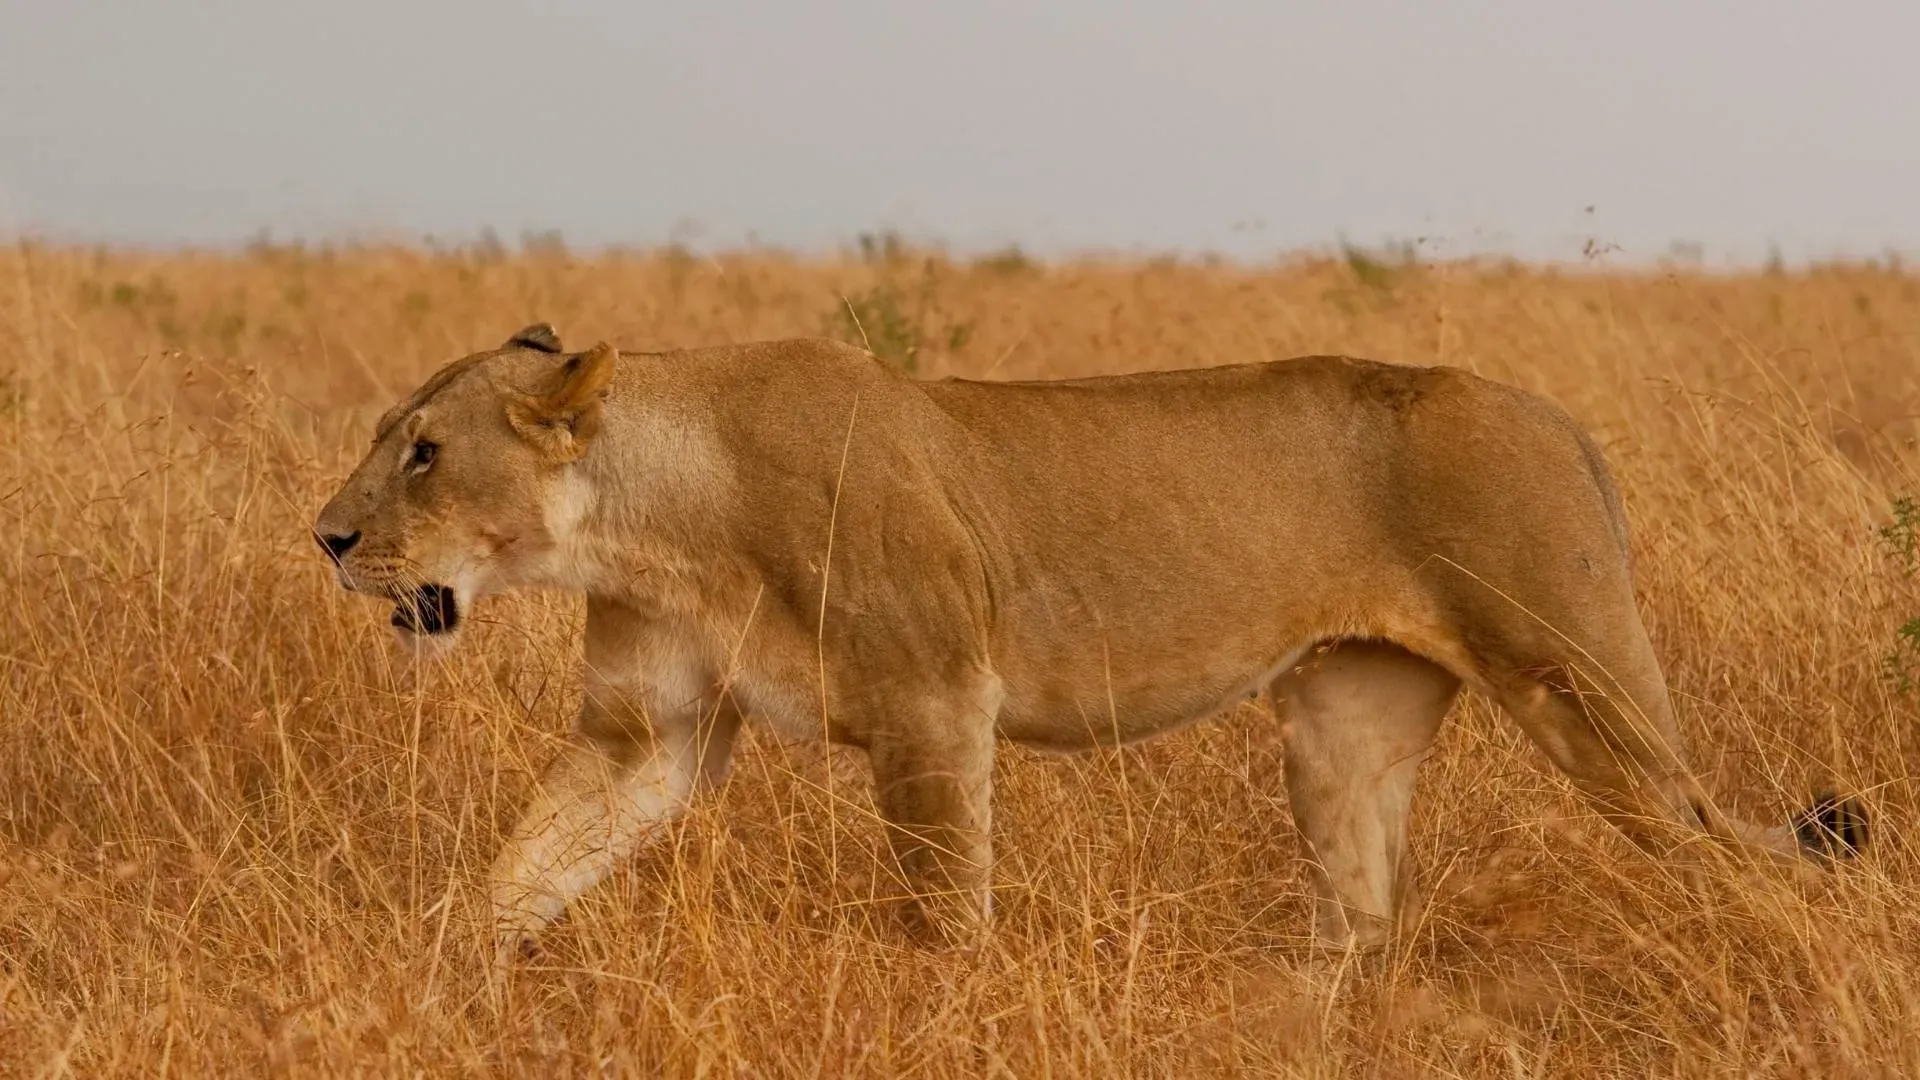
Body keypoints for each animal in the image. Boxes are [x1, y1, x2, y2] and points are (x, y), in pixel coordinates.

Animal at [312, 324, 1866, 963]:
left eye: (425, 452)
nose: (324, 538)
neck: (652, 517)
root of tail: (1559, 418)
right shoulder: (650, 735)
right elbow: (523, 868)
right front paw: (430, 989)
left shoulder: (934, 705)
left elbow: (944, 911)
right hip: (1345, 726)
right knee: (1362, 917)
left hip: (1579, 683)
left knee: (1730, 856)